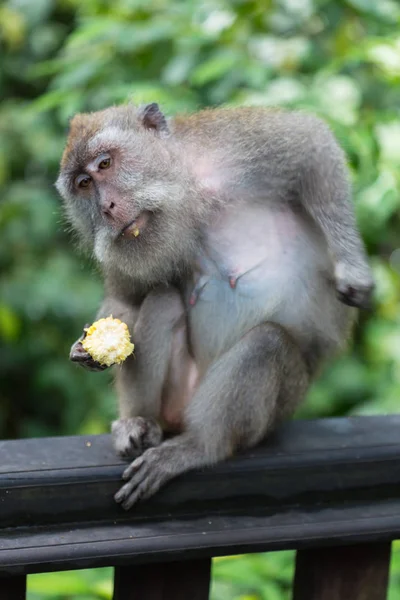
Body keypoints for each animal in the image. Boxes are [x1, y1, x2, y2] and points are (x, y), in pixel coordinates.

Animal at [56, 102, 376, 506]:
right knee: (162, 301)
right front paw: (88, 349)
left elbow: (311, 146)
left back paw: (200, 446)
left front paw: (353, 269)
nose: (108, 208)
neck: (184, 195)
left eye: (105, 163)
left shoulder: (227, 149)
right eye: (83, 184)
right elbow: (128, 296)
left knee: (266, 343)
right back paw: (138, 423)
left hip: (278, 406)